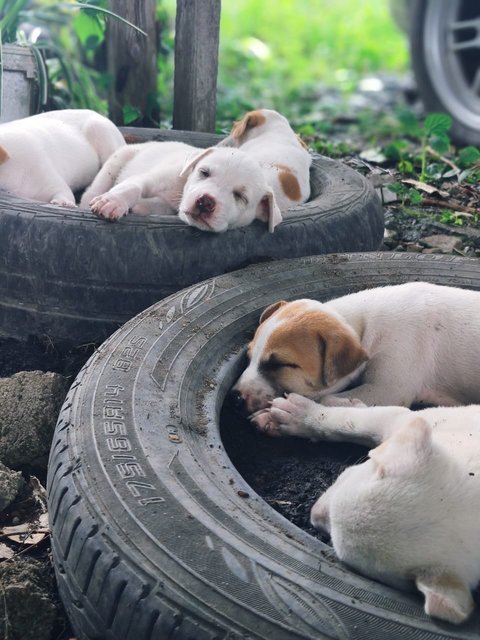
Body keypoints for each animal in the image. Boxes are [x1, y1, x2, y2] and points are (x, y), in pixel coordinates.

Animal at [79, 140, 282, 232]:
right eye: (204, 172)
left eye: (240, 196)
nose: (206, 202)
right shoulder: (153, 178)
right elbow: (134, 186)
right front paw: (113, 202)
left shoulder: (167, 206)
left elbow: (158, 206)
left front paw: (139, 207)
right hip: (115, 162)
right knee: (92, 190)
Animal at [233, 282, 480, 416]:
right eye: (248, 356)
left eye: (279, 364)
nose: (235, 398)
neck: (363, 325)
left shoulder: (388, 390)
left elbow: (325, 399)